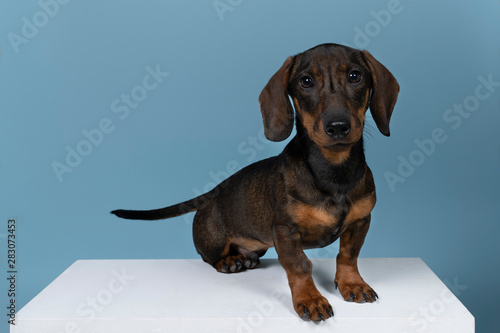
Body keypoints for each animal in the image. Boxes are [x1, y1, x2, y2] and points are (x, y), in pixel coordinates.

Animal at [111, 42, 400, 320]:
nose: (338, 126)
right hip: (213, 240)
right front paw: (310, 299)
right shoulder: (284, 231)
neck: (334, 171)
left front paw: (353, 283)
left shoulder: (361, 221)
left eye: (355, 76)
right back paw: (229, 261)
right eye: (306, 81)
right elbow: (300, 265)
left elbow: (348, 255)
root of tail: (212, 192)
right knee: (207, 257)